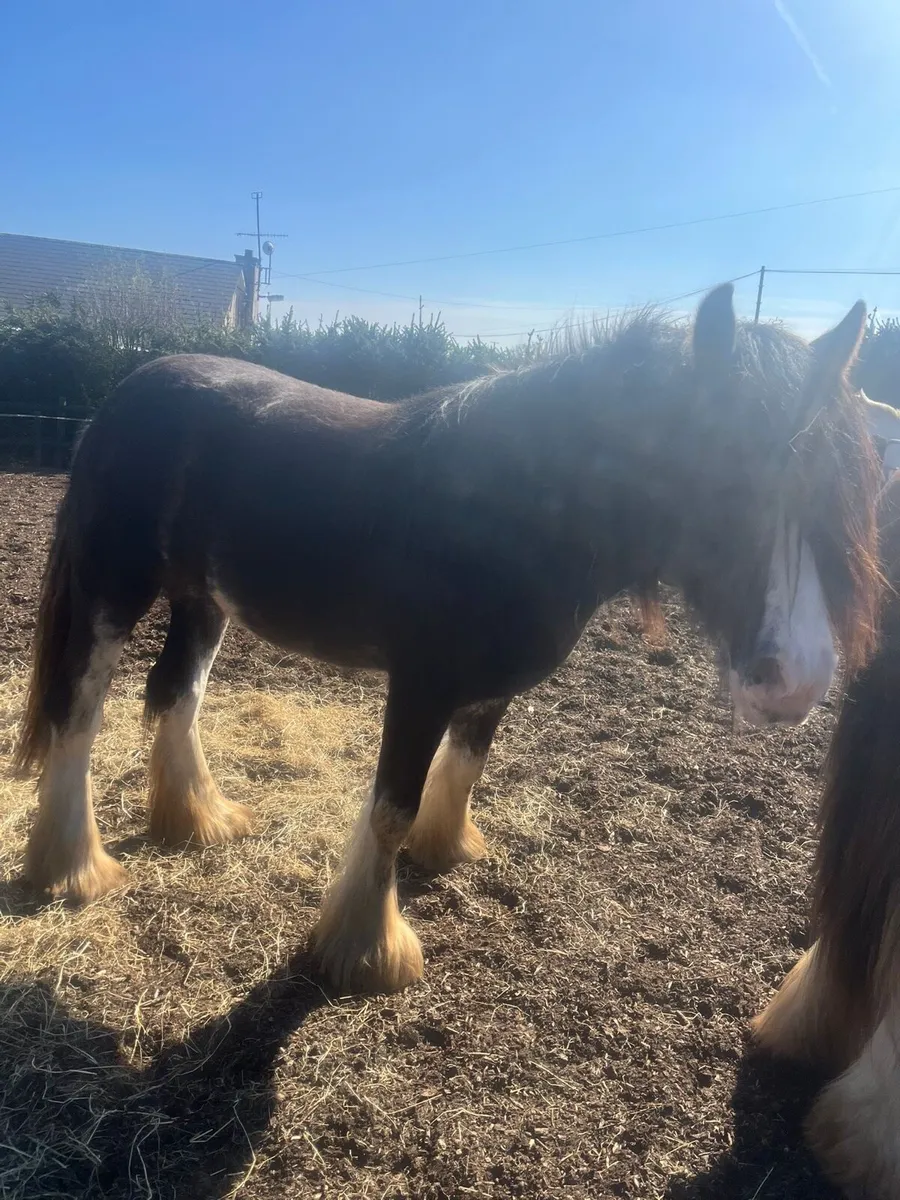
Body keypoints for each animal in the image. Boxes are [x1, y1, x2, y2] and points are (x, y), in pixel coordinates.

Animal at [13, 284, 882, 995]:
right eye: (727, 478)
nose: (796, 682)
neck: (516, 507)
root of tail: (131, 389)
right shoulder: (420, 682)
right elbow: (391, 807)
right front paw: (366, 951)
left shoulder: (488, 687)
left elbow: (463, 768)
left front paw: (448, 849)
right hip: (111, 592)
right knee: (78, 712)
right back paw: (74, 869)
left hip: (204, 600)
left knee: (176, 695)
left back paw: (199, 820)